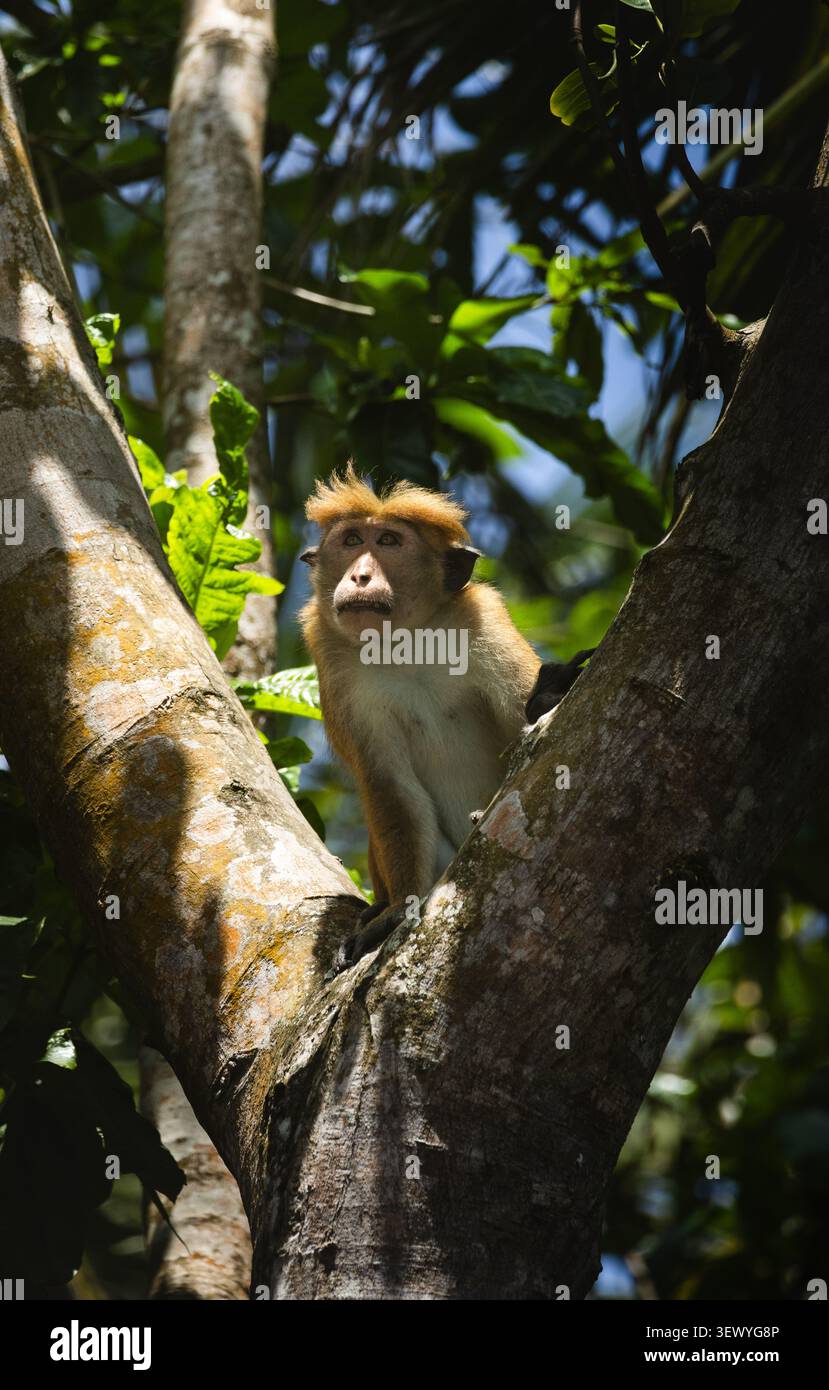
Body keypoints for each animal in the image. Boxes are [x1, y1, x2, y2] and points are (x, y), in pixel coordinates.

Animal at [299, 464, 593, 971]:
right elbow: (390, 787)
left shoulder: (482, 621)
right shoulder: (333, 662)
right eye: (352, 540)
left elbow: (531, 732)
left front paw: (548, 694)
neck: (406, 643)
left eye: (389, 541)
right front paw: (396, 910)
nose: (360, 575)